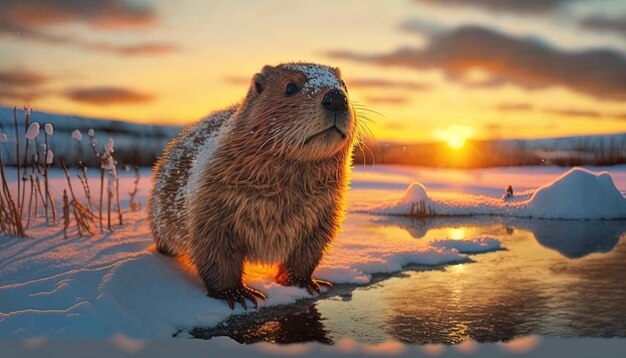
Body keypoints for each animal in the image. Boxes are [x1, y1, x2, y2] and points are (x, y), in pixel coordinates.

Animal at [147, 63, 356, 310]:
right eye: (290, 87)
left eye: (344, 84)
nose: (336, 98)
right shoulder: (210, 194)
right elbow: (214, 246)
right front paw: (237, 293)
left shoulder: (327, 208)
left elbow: (309, 247)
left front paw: (306, 282)